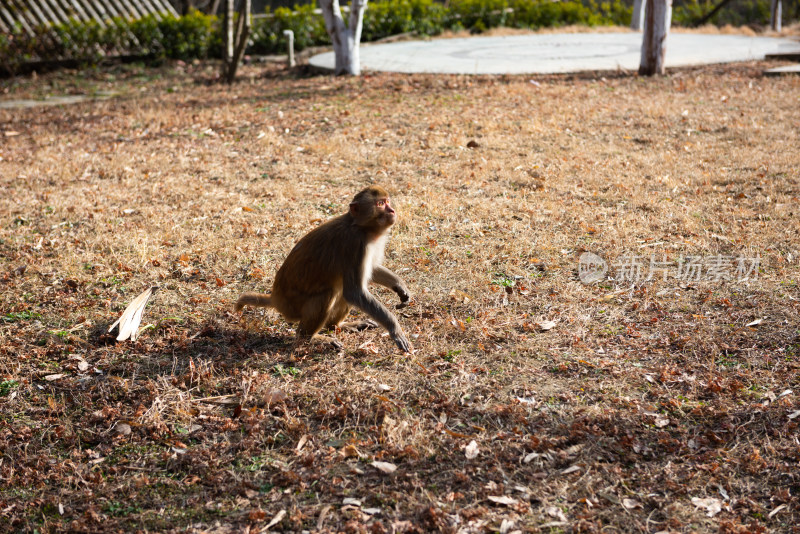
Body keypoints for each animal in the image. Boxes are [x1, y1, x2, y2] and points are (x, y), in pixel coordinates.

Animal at [234, 186, 412, 354]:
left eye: (387, 201)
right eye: (380, 204)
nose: (392, 210)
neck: (362, 228)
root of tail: (276, 299)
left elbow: (371, 271)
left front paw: (400, 286)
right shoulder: (355, 244)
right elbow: (355, 292)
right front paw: (395, 329)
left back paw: (337, 325)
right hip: (293, 307)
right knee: (329, 293)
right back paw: (310, 338)